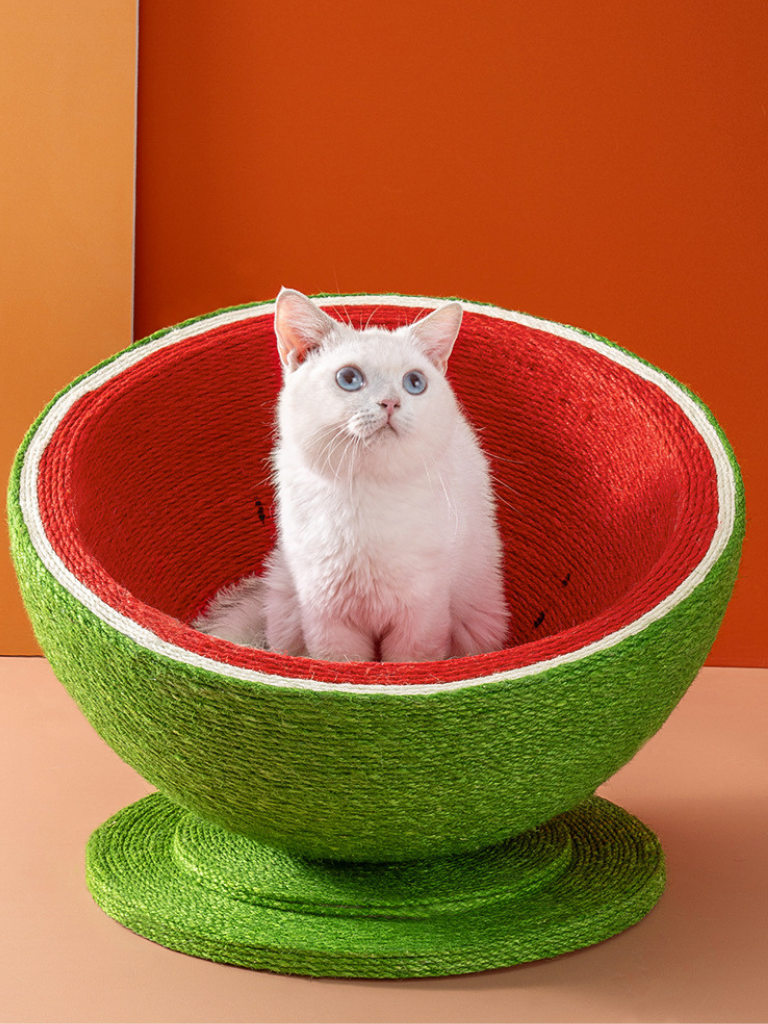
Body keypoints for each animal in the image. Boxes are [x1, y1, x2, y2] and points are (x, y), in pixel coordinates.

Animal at [195, 286, 512, 663]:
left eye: (414, 382)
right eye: (349, 379)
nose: (390, 403)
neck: (364, 494)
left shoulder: (423, 614)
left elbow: (408, 663)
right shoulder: (326, 616)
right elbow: (344, 663)